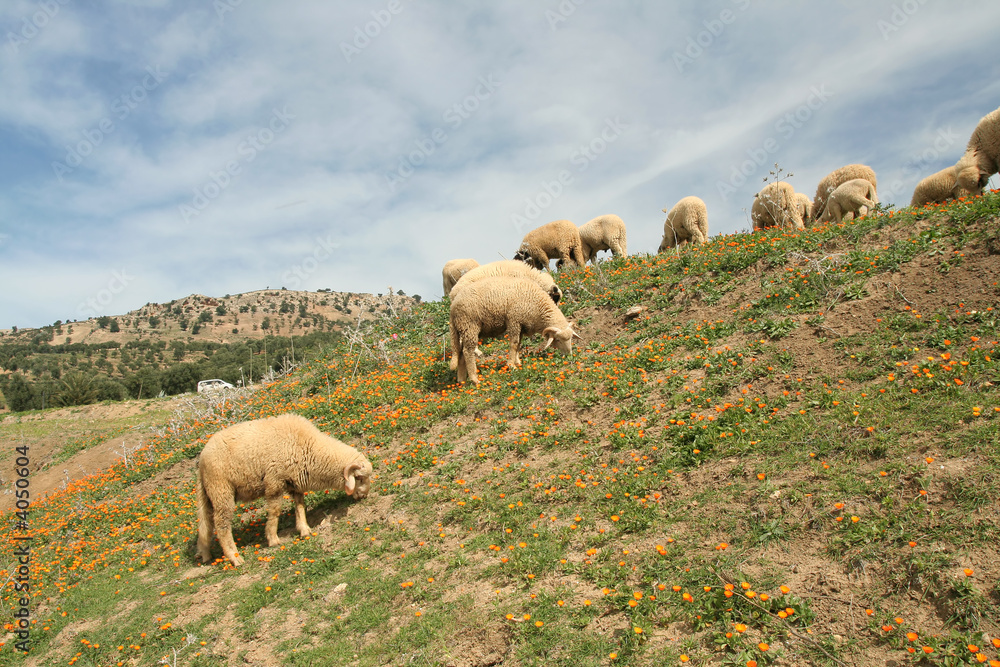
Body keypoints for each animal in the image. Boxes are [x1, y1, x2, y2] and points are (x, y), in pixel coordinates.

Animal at [196, 414, 373, 567]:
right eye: (359, 478)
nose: (364, 496)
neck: (309, 447)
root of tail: (202, 457)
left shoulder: (295, 482)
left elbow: (300, 506)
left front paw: (304, 529)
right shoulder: (274, 482)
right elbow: (275, 511)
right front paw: (273, 539)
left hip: (208, 494)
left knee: (205, 524)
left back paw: (205, 554)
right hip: (221, 490)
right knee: (222, 525)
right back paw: (235, 558)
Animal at [448, 276, 580, 384]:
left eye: (571, 339)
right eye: (557, 340)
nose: (569, 355)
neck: (537, 306)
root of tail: (453, 306)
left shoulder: (521, 325)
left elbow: (519, 345)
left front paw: (518, 362)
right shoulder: (514, 320)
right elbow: (514, 344)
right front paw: (511, 365)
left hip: (463, 329)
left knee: (461, 352)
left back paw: (462, 380)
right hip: (470, 325)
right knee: (467, 351)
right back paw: (474, 379)